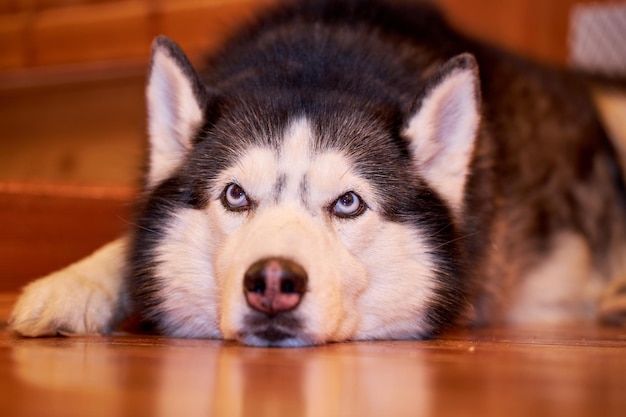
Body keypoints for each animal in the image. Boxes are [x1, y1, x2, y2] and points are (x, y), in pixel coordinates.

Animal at [8, 0, 624, 344]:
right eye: (235, 195)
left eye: (349, 202)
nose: (272, 283)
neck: (319, 57)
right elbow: (130, 243)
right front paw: (73, 284)